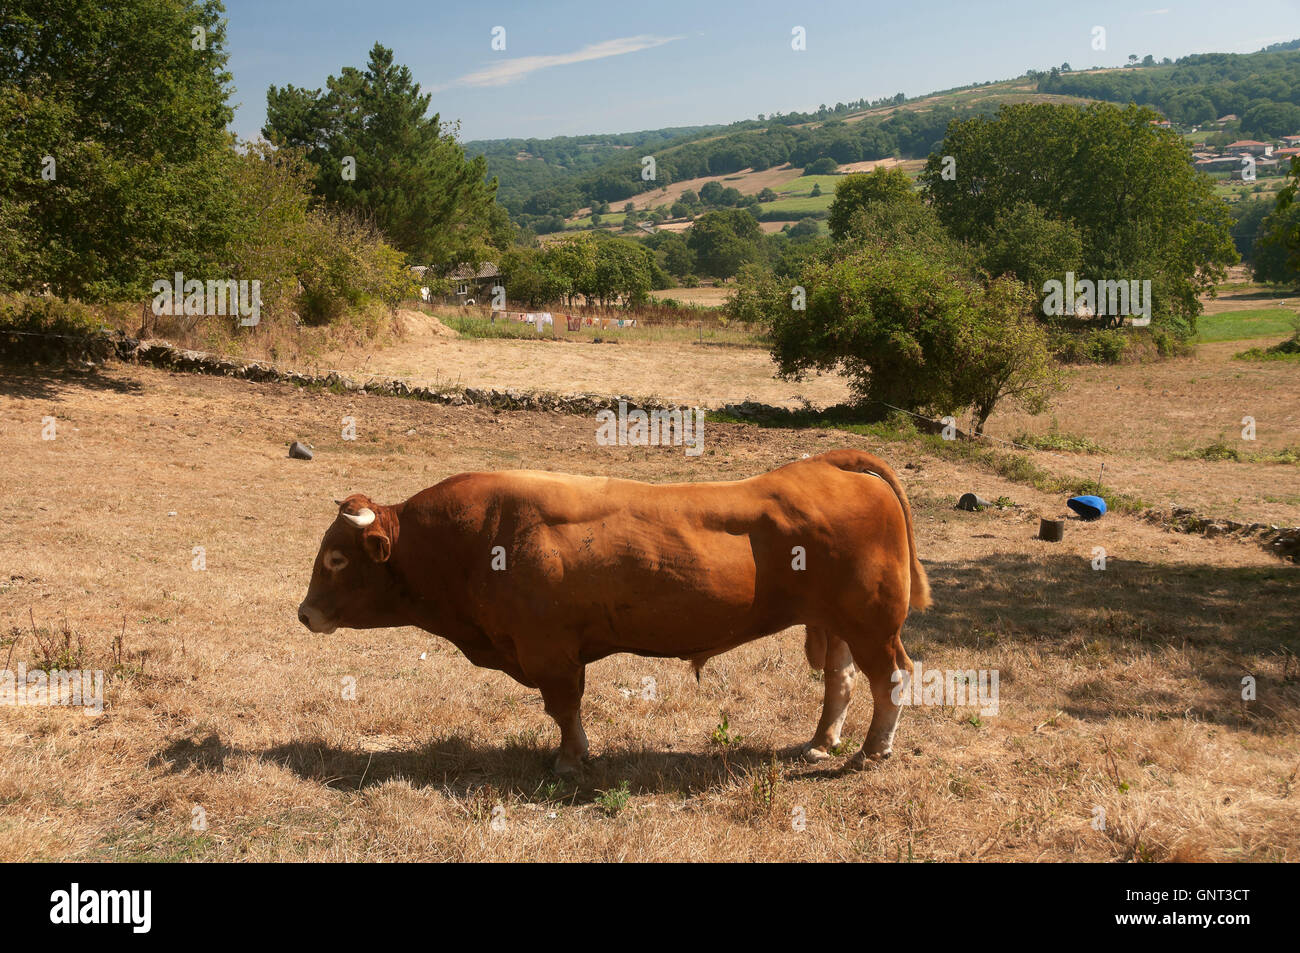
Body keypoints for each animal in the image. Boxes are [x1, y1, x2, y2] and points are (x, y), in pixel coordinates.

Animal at [297, 447, 925, 774]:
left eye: (335, 558)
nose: (304, 614)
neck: (477, 538)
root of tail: (828, 464)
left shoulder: (549, 650)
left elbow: (564, 708)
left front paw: (570, 762)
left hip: (872, 624)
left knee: (892, 677)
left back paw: (873, 751)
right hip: (838, 625)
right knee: (841, 681)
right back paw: (822, 742)